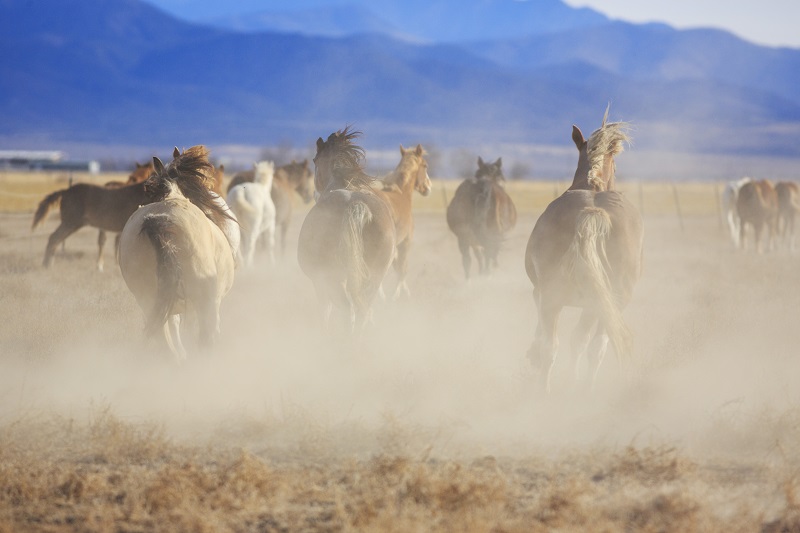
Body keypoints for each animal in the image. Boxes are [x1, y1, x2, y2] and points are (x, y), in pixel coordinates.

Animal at [297, 128, 396, 335]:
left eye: (314, 160)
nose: (312, 194)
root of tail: (355, 204)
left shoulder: (319, 283)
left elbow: (325, 313)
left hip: (333, 278)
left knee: (347, 309)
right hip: (373, 278)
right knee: (363, 312)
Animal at [373, 144, 432, 299]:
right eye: (425, 165)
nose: (428, 187)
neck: (402, 194)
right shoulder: (405, 242)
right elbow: (401, 269)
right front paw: (397, 295)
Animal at [524, 112, 643, 393]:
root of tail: (592, 212)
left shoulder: (540, 293)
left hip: (559, 299)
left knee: (556, 345)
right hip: (609, 300)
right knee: (595, 345)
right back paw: (586, 391)